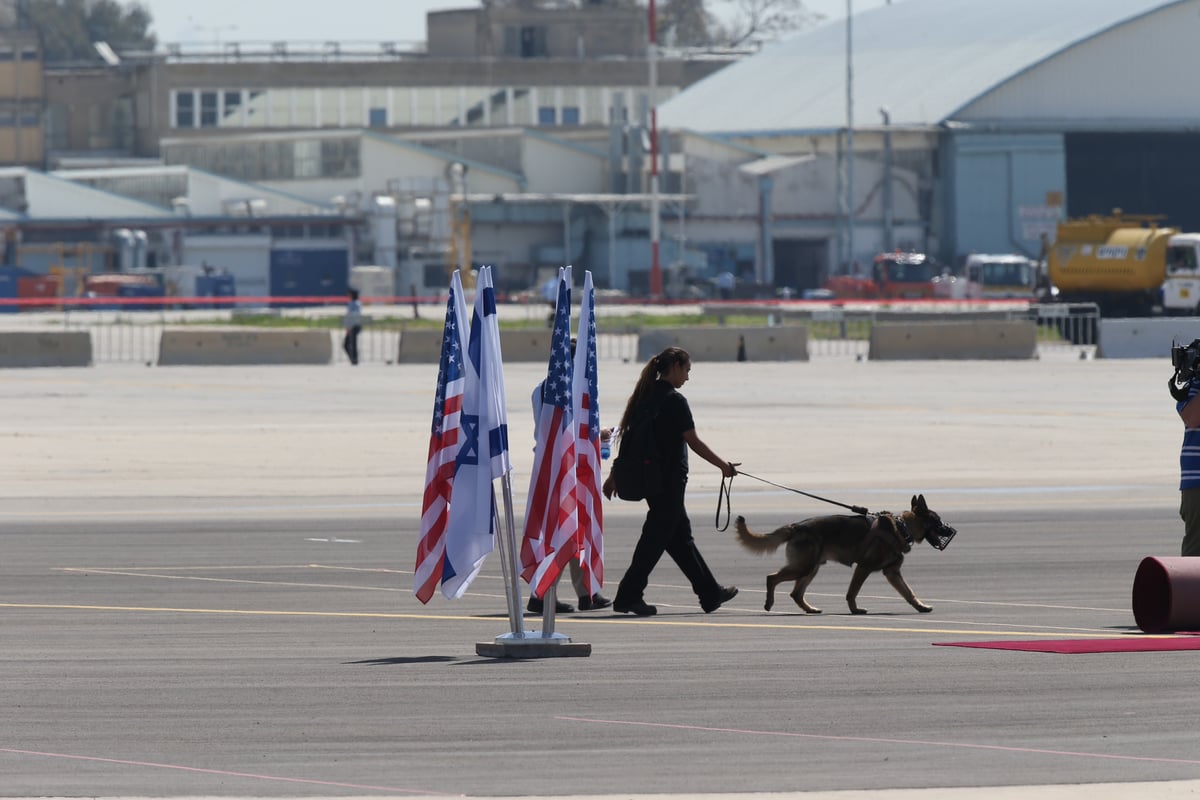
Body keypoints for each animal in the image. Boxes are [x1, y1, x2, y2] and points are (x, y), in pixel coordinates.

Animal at [729, 491, 955, 618]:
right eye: (938, 521)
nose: (952, 530)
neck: (902, 527)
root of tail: (796, 526)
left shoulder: (892, 573)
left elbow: (909, 592)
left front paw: (921, 606)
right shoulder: (863, 568)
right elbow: (852, 592)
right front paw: (855, 610)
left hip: (811, 568)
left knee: (795, 593)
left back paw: (810, 609)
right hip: (804, 567)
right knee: (772, 578)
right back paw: (769, 603)